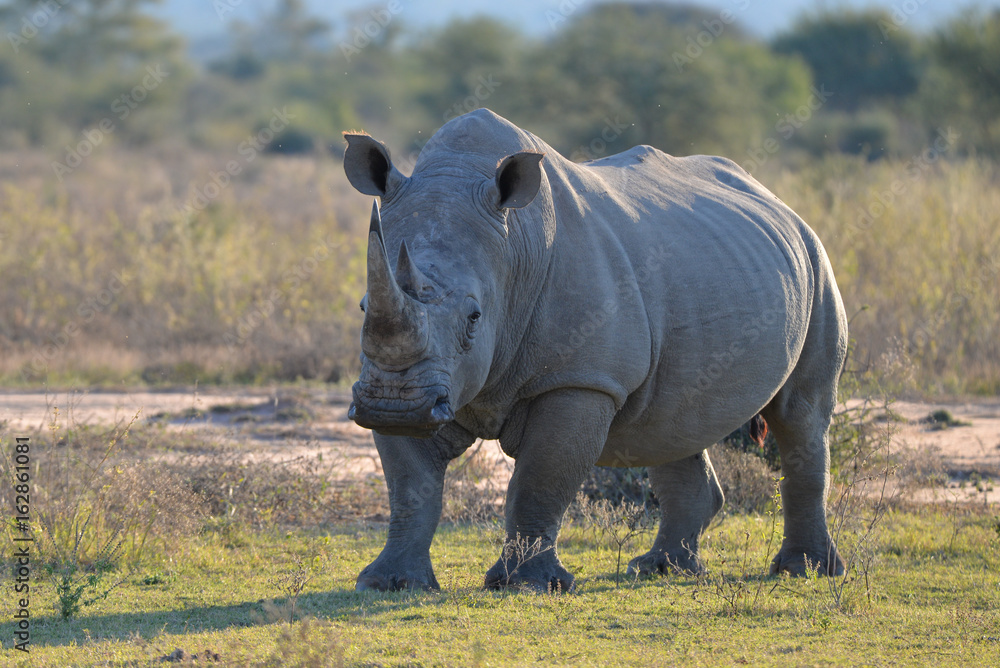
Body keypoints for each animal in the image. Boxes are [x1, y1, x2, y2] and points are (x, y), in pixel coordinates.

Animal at [343, 109, 847, 592]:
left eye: (474, 316)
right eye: (364, 306)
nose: (391, 406)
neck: (513, 247)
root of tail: (781, 204)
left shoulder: (579, 380)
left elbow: (539, 480)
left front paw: (530, 586)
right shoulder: (414, 381)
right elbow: (411, 487)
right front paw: (389, 583)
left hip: (817, 263)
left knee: (800, 415)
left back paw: (806, 571)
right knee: (674, 425)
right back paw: (662, 569)